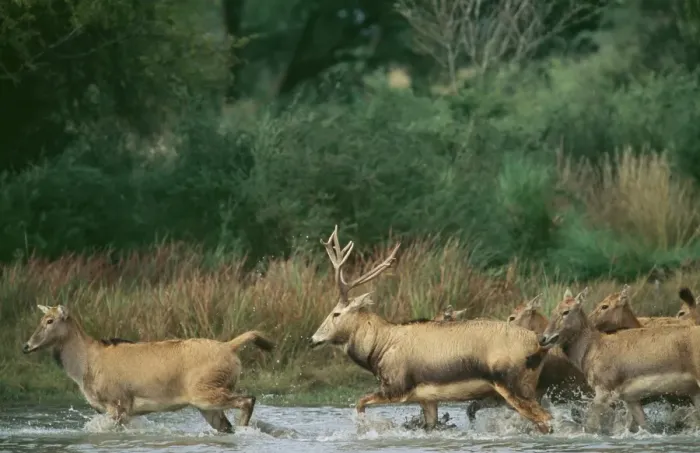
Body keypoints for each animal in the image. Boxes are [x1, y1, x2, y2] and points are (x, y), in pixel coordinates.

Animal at [23, 304, 274, 433]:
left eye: (50, 321)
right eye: (41, 319)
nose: (26, 346)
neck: (84, 366)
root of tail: (230, 347)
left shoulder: (118, 402)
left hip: (205, 391)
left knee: (248, 399)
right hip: (207, 403)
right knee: (226, 424)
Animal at [309, 225, 554, 433]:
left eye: (336, 313)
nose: (313, 339)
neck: (378, 350)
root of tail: (538, 343)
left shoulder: (397, 386)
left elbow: (360, 403)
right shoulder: (427, 397)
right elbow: (430, 425)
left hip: (513, 383)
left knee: (546, 420)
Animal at [538, 287, 700, 433]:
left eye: (566, 312)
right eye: (553, 311)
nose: (543, 339)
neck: (590, 351)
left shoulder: (605, 389)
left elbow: (590, 426)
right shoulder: (630, 397)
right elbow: (643, 426)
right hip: (694, 392)